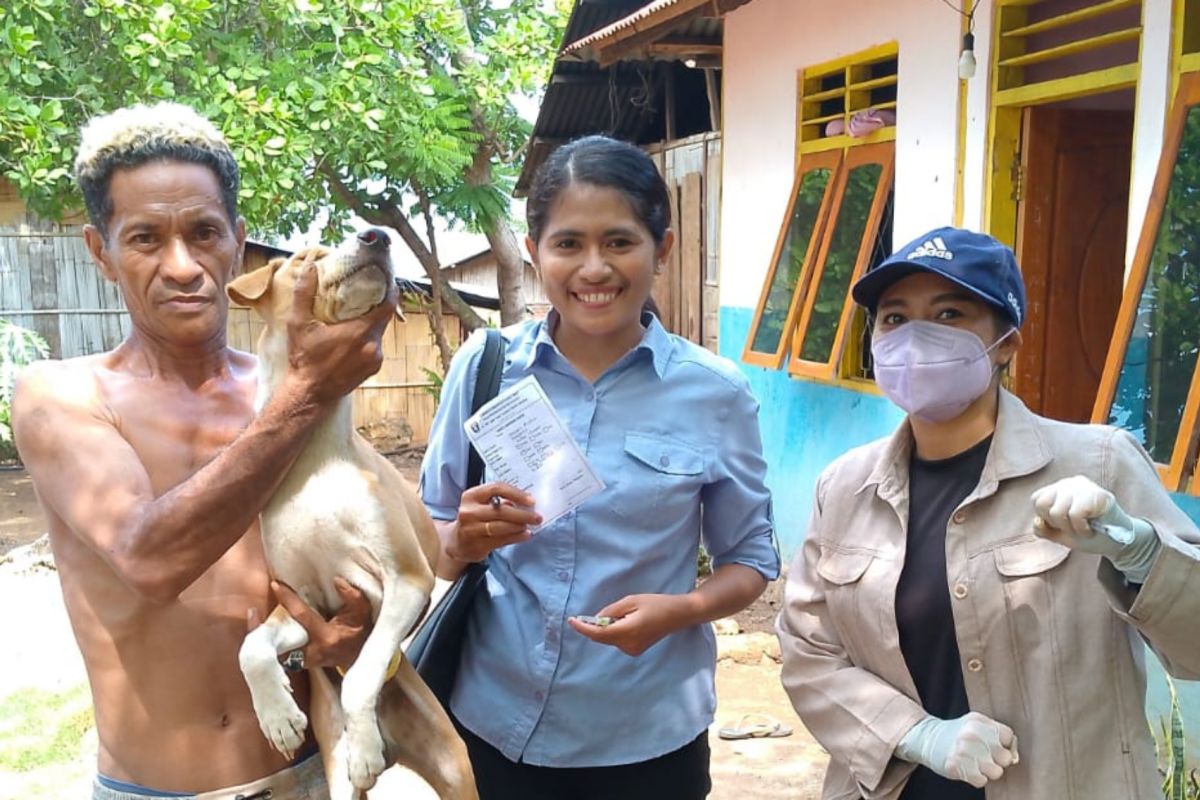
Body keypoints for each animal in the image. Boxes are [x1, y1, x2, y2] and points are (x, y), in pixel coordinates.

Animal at [226, 231, 475, 800]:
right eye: (304, 258)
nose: (377, 236)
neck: (315, 458)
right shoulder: (304, 599)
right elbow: (251, 647)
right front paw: (277, 717)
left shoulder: (407, 580)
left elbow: (362, 672)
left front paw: (364, 748)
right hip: (335, 778)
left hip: (457, 768)